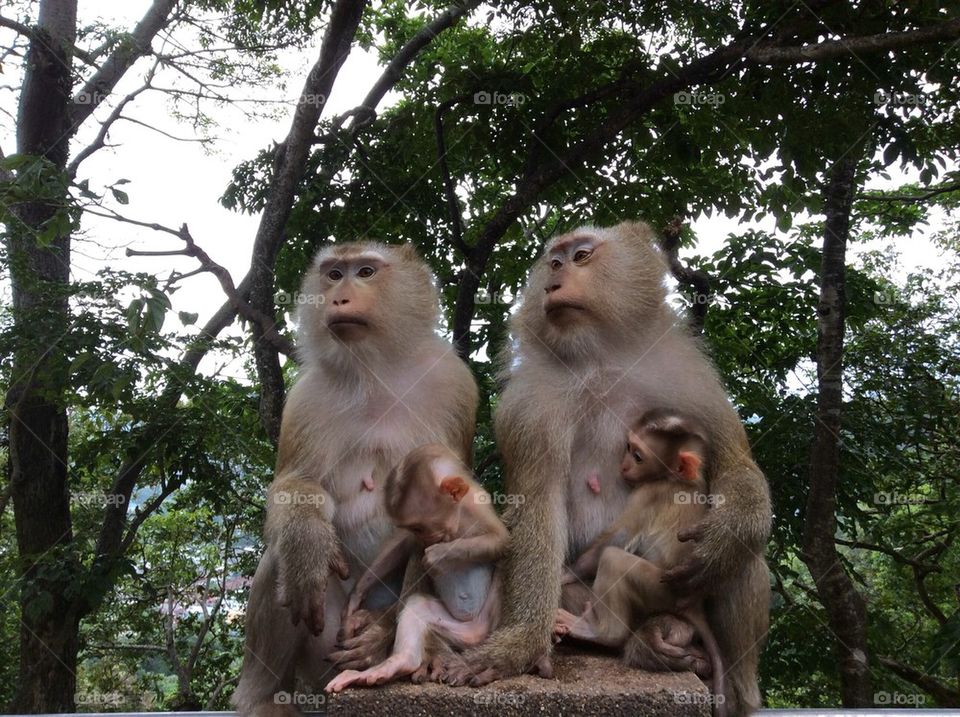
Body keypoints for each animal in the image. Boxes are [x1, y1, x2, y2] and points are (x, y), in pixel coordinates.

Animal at [232, 242, 478, 716]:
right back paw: (262, 697)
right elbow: (292, 488)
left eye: (365, 272)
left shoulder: (454, 386)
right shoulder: (307, 397)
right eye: (333, 274)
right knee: (281, 562)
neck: (376, 369)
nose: (339, 297)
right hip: (321, 646)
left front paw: (380, 635)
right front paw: (308, 541)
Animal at [325, 444, 507, 692]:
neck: (458, 517)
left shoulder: (478, 506)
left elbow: (499, 540)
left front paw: (439, 555)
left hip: (487, 620)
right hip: (455, 627)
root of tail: (474, 632)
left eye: (420, 526)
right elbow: (404, 546)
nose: (427, 538)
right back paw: (396, 664)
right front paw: (357, 593)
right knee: (417, 607)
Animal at [555, 410, 728, 716]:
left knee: (613, 560)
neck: (678, 479)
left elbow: (616, 539)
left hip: (661, 589)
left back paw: (600, 633)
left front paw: (566, 573)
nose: (623, 466)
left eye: (637, 456)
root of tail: (695, 605)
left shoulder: (649, 492)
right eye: (628, 448)